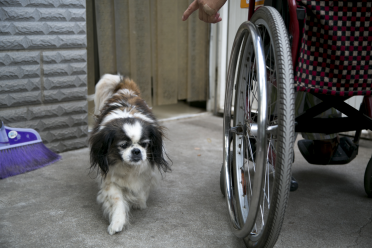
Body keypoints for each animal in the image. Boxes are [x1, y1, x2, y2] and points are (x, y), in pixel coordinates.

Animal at [90, 73, 171, 234]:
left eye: (144, 144)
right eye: (123, 145)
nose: (136, 151)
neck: (128, 168)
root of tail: (125, 88)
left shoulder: (146, 172)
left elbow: (141, 188)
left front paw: (139, 201)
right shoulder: (110, 180)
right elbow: (118, 201)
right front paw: (117, 223)